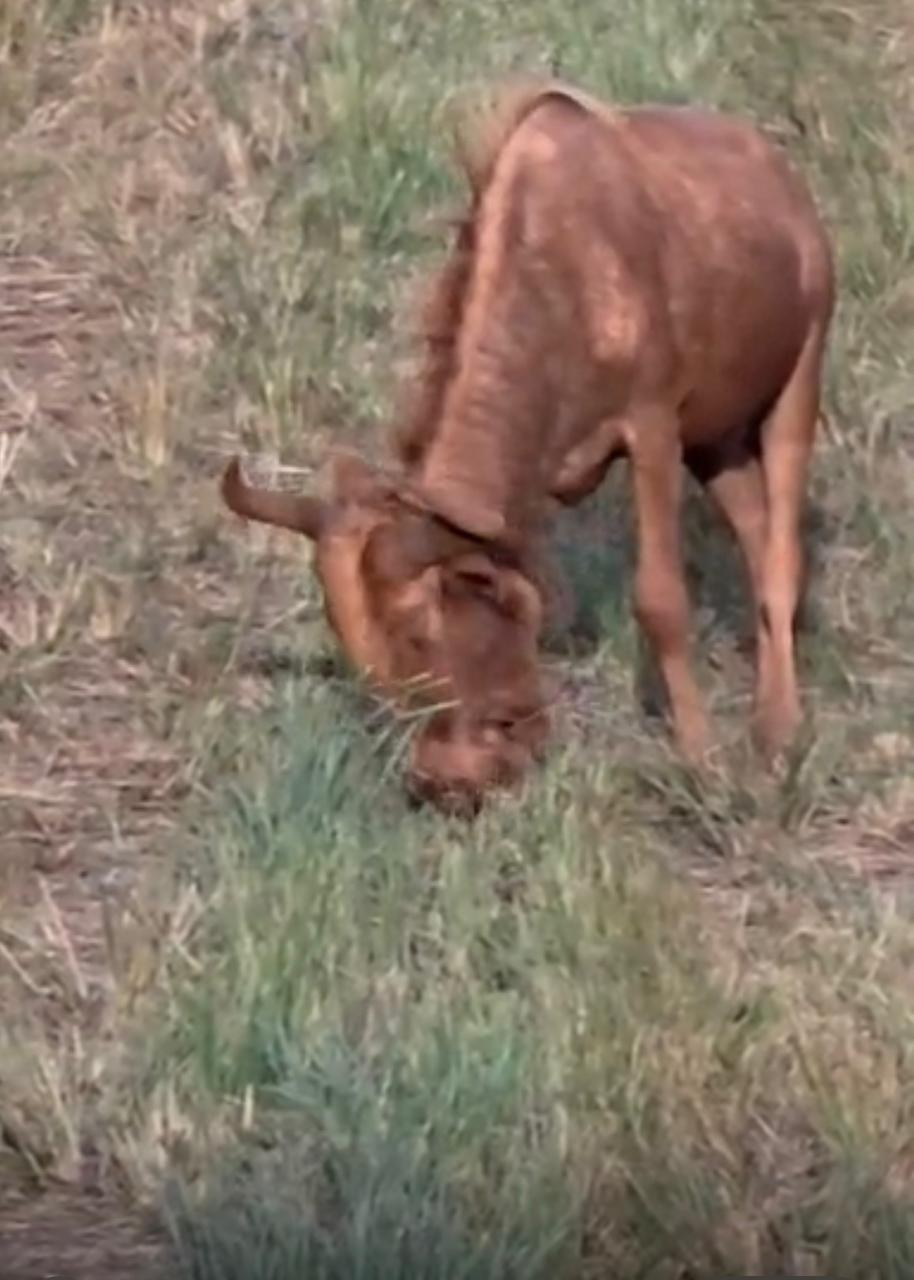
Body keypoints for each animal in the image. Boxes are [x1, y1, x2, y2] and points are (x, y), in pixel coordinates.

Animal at [220, 79, 836, 814]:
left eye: (421, 629)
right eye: (359, 648)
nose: (450, 782)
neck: (560, 268)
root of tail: (780, 177)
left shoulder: (653, 426)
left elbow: (660, 600)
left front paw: (701, 760)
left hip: (796, 382)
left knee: (783, 551)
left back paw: (780, 729)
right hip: (716, 443)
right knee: (756, 532)